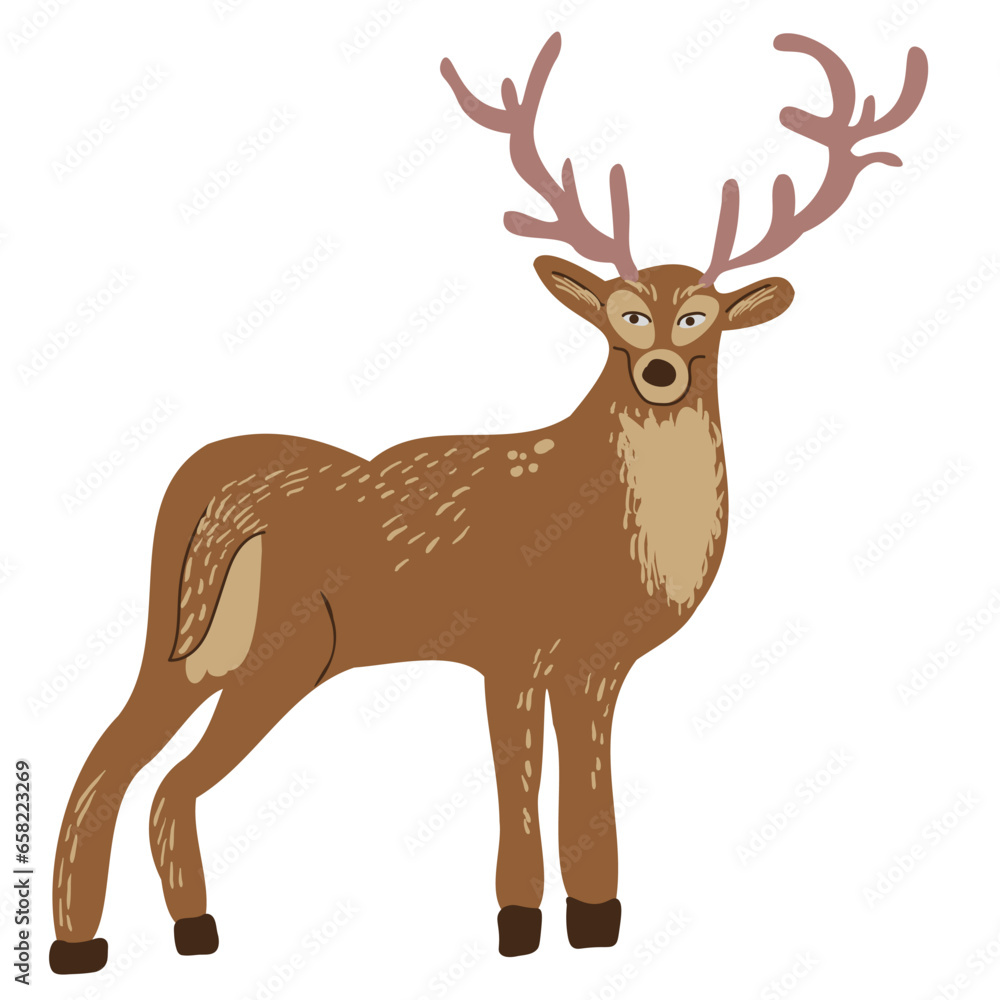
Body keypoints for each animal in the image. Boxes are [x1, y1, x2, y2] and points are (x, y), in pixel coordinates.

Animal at [49, 30, 927, 974]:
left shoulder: (594, 667)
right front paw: (517, 925)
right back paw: (125, 939)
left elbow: (589, 801)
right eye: (624, 315)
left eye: (701, 316)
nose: (660, 372)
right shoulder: (509, 647)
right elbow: (519, 791)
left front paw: (597, 920)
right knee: (148, 775)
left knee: (128, 769)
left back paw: (149, 934)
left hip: (195, 652)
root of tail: (203, 482)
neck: (610, 530)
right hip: (272, 655)